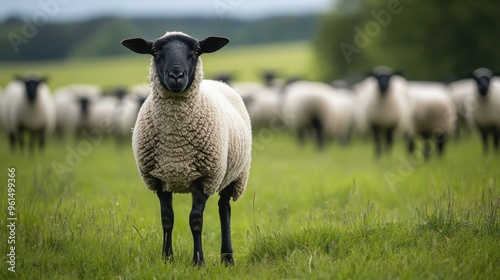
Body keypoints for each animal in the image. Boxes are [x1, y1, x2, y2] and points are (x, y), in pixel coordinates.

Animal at [120, 31, 252, 266]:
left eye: (196, 51)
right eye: (155, 51)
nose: (176, 75)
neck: (176, 143)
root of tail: (217, 81)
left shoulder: (204, 178)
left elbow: (196, 220)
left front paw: (198, 261)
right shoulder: (159, 179)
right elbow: (167, 219)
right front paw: (167, 258)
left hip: (234, 176)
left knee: (224, 209)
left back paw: (227, 258)